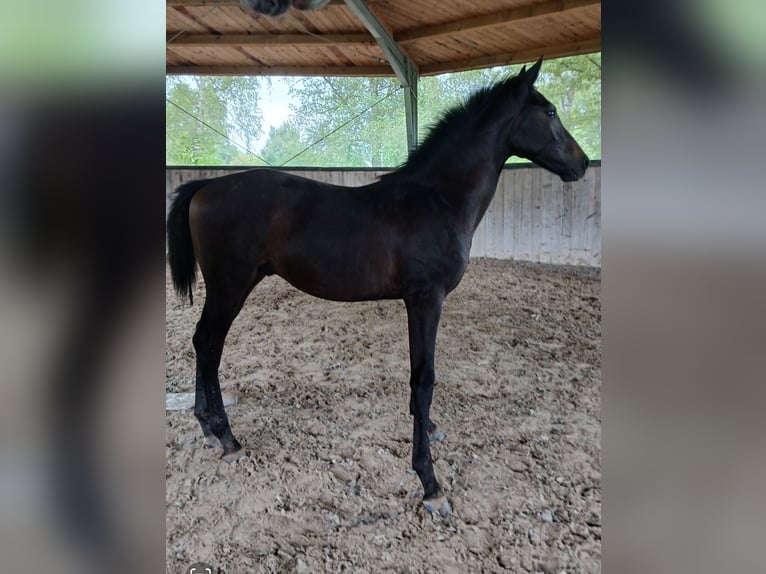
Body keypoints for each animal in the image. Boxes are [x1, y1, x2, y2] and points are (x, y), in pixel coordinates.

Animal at [166, 56, 588, 502]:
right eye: (550, 112)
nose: (581, 163)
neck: (436, 198)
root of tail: (206, 186)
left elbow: (420, 380)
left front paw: (430, 430)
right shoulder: (426, 299)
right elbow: (424, 379)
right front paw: (429, 481)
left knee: (203, 342)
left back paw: (208, 429)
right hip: (229, 287)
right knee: (209, 345)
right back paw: (227, 437)